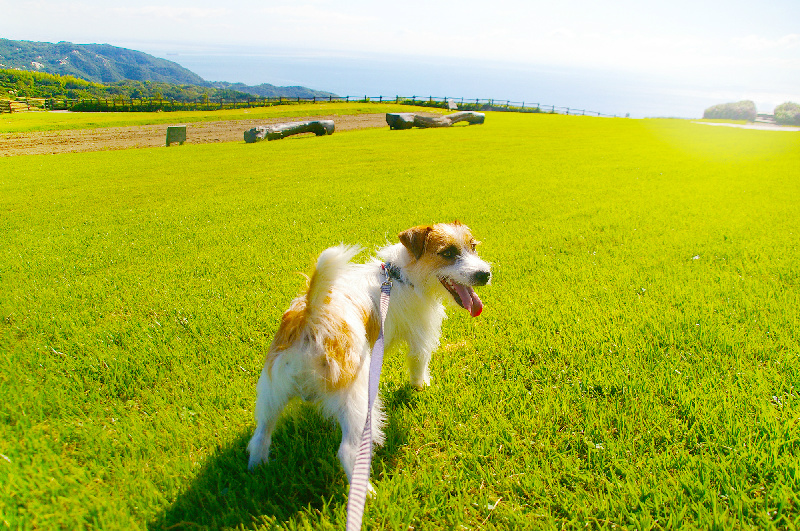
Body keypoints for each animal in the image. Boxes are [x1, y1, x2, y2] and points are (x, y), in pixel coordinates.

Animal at [247, 220, 490, 486]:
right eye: (447, 253)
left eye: (473, 247)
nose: (485, 274)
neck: (400, 276)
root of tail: (311, 318)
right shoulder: (421, 336)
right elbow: (419, 362)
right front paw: (422, 385)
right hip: (357, 401)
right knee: (347, 450)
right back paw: (370, 490)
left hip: (272, 394)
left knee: (260, 437)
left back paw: (257, 471)